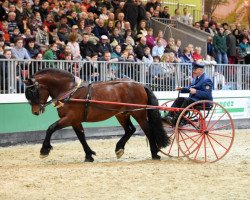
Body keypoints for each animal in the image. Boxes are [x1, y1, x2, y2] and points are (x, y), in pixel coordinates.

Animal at [23, 68, 170, 162]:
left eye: (33, 91)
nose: (36, 112)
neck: (70, 91)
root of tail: (139, 84)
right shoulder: (75, 121)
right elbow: (81, 137)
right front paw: (89, 155)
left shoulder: (70, 118)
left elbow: (51, 128)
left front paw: (44, 150)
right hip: (122, 114)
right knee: (130, 129)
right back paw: (119, 148)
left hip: (138, 113)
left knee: (147, 130)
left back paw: (155, 153)